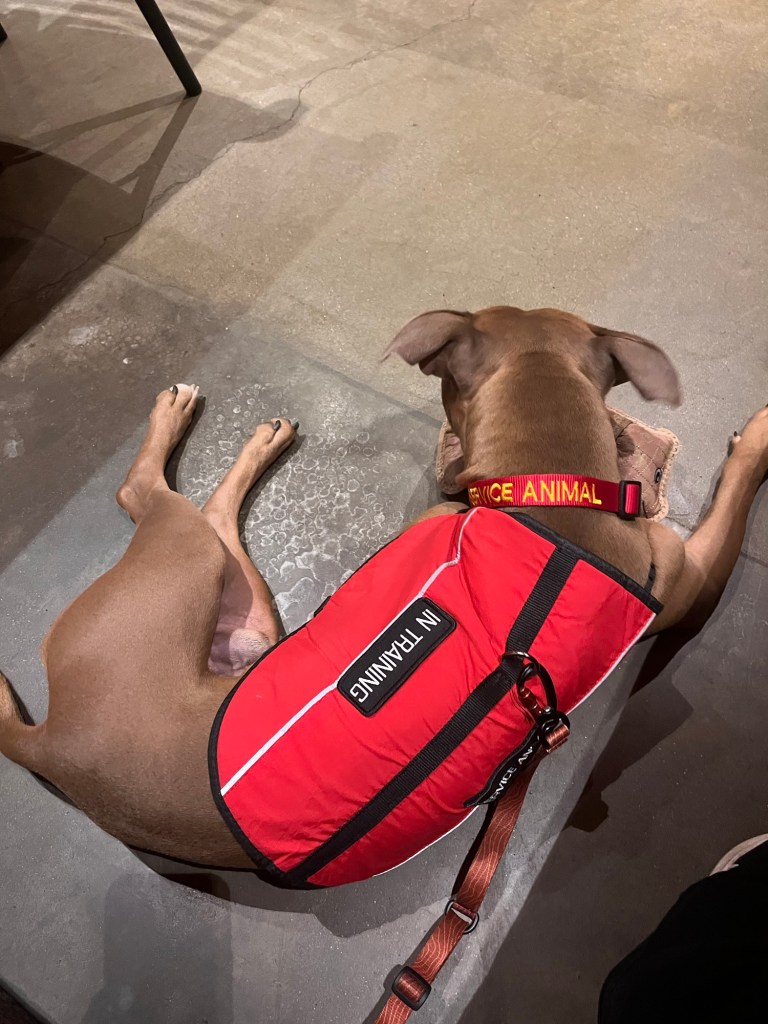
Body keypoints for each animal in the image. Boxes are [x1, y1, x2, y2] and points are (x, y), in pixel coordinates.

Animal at [1, 306, 767, 873]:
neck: (548, 497)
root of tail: (52, 745)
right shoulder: (694, 578)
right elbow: (733, 498)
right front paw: (757, 437)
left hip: (241, 609)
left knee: (202, 513)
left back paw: (259, 439)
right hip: (183, 558)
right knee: (141, 494)